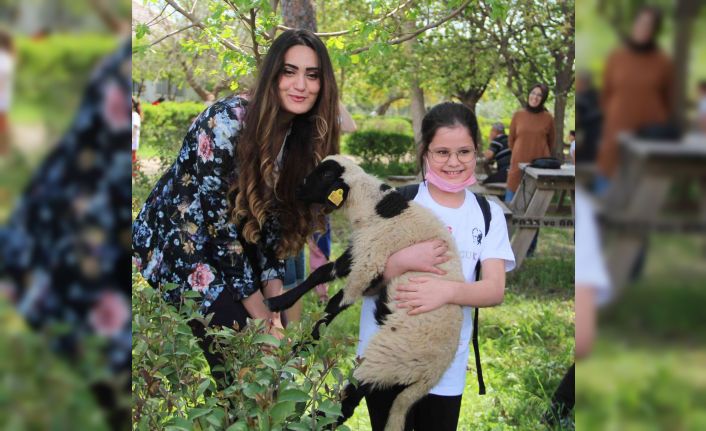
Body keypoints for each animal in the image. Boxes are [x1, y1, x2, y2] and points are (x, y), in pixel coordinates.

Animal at [264, 155, 468, 431]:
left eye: (325, 175)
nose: (297, 189)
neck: (373, 206)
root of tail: (429, 378)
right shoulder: (361, 250)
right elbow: (322, 273)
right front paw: (278, 301)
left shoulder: (370, 262)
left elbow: (335, 303)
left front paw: (302, 345)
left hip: (383, 360)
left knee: (347, 403)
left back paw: (304, 420)